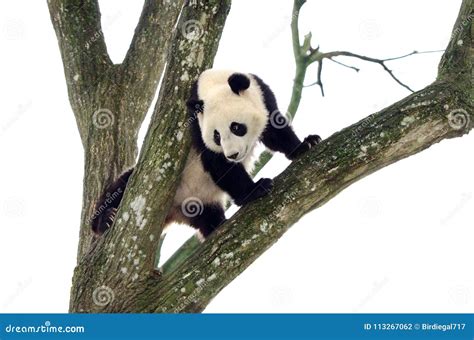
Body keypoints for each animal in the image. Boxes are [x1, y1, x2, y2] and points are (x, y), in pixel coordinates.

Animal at [91, 69, 322, 238]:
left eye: (236, 127)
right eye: (216, 136)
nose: (233, 155)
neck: (212, 85)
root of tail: (174, 212)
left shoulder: (262, 95)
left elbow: (275, 130)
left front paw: (305, 145)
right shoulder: (195, 127)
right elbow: (218, 163)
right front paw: (255, 189)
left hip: (202, 202)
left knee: (207, 215)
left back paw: (215, 225)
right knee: (120, 188)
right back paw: (105, 220)